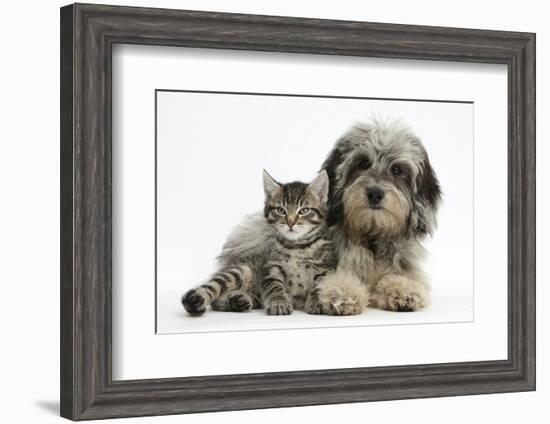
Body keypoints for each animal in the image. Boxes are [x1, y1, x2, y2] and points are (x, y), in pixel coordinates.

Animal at [262, 170, 336, 314]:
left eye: (304, 211)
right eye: (281, 210)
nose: (290, 223)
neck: (296, 246)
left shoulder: (326, 267)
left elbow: (320, 284)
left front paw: (317, 301)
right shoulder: (272, 266)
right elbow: (274, 285)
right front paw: (278, 302)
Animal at [320, 119, 444, 314]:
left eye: (397, 170)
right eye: (363, 163)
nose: (375, 194)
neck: (374, 238)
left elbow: (402, 278)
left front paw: (403, 289)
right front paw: (343, 291)